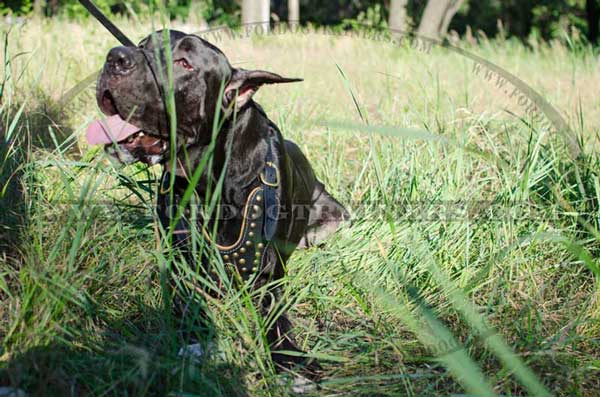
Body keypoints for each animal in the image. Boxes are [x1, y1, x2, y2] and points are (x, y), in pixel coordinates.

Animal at [88, 30, 352, 374]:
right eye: (142, 45)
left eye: (184, 63)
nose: (115, 57)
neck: (208, 181)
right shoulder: (179, 260)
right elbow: (186, 299)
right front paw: (196, 339)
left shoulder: (270, 277)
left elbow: (277, 317)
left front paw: (290, 357)